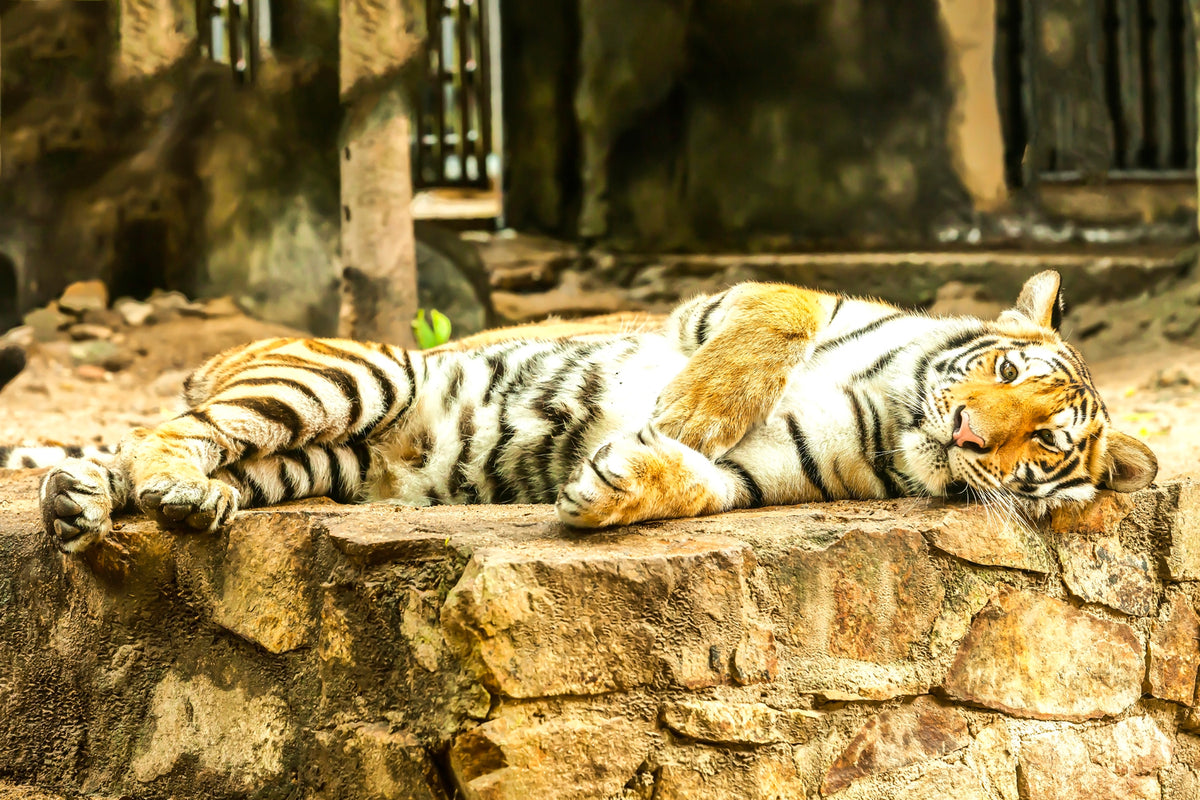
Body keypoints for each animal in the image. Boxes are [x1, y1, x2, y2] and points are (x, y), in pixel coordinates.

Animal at [35, 271, 1152, 556]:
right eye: (1003, 365)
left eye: (1044, 442)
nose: (967, 432)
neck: (896, 412)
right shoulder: (738, 299)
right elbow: (776, 321)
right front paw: (691, 406)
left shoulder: (770, 472)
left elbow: (698, 483)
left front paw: (613, 484)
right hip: (361, 373)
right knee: (170, 430)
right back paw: (161, 491)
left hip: (318, 463)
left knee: (178, 456)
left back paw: (98, 506)